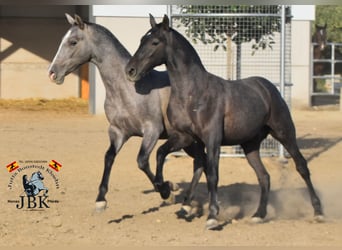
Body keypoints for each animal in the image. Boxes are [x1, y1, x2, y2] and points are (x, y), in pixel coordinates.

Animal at [47, 14, 206, 211]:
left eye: (73, 42)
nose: (52, 73)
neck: (129, 89)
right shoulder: (118, 131)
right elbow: (109, 157)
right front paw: (101, 199)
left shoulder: (152, 130)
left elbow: (142, 161)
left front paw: (167, 191)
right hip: (189, 142)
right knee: (201, 161)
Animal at [125, 14, 324, 229]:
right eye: (141, 40)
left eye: (154, 42)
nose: (130, 70)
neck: (193, 94)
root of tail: (267, 87)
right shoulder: (186, 138)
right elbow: (166, 155)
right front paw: (166, 190)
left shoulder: (213, 139)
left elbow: (212, 174)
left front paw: (212, 216)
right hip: (250, 145)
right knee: (264, 176)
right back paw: (258, 215)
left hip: (284, 133)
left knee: (301, 166)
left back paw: (318, 212)